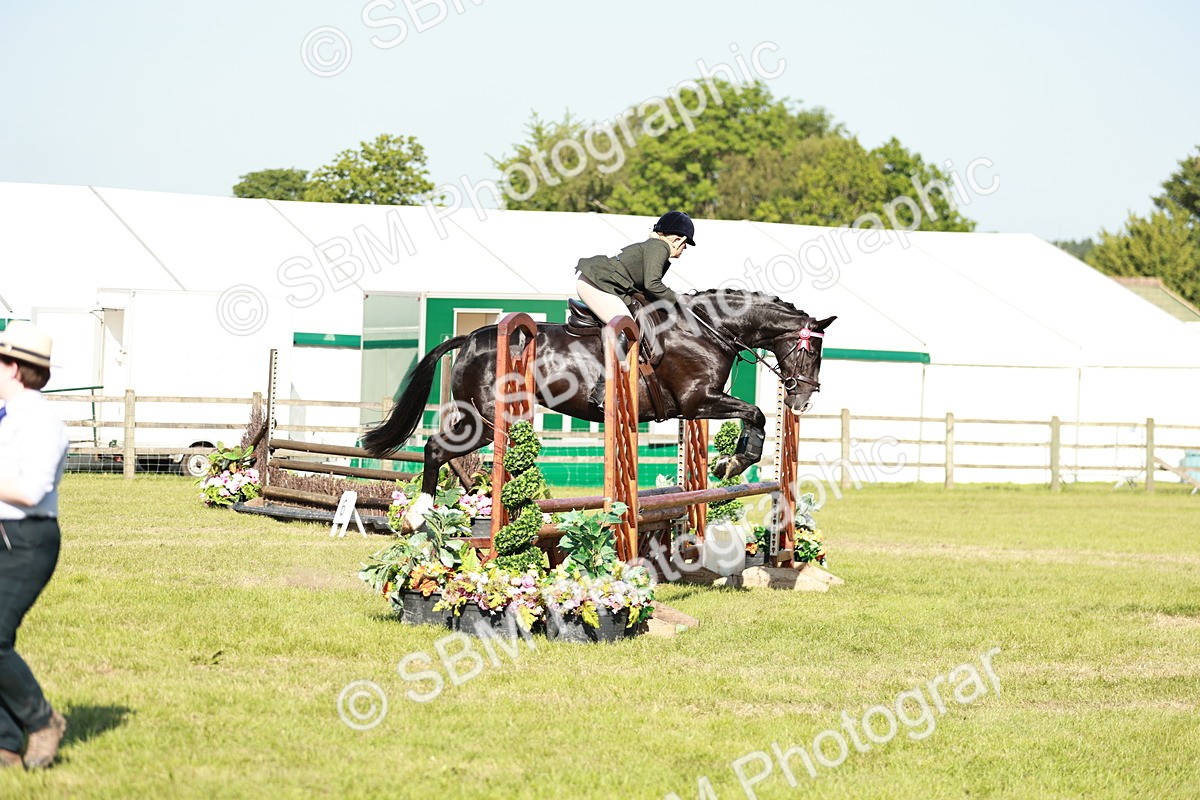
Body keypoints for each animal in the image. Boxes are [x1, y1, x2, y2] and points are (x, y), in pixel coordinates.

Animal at [363, 289, 835, 530]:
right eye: (812, 353)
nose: (802, 399)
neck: (710, 329)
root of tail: (472, 337)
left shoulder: (696, 408)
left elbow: (753, 415)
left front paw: (730, 463)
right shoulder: (697, 400)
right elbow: (755, 413)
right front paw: (733, 463)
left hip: (478, 421)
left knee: (438, 449)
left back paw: (432, 512)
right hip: (494, 418)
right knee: (456, 453)